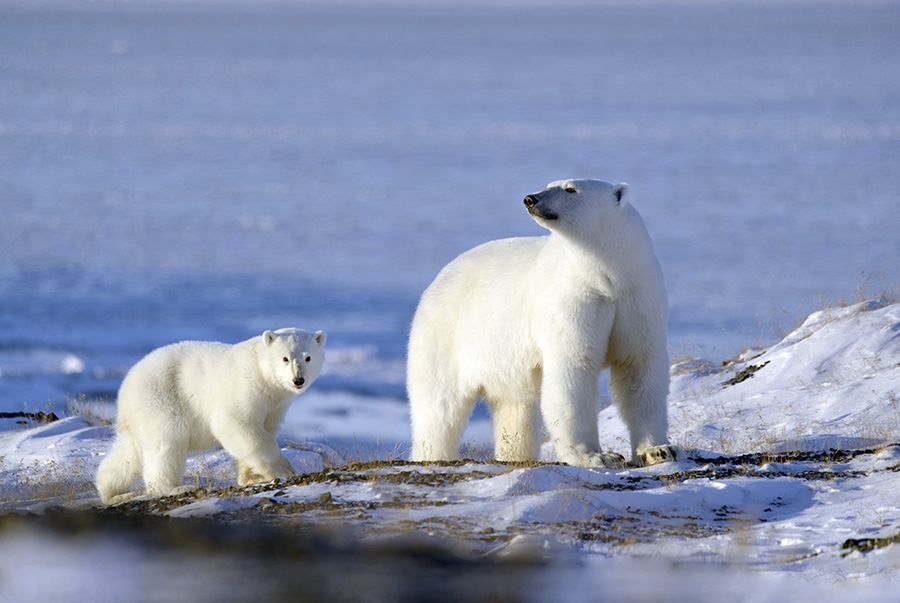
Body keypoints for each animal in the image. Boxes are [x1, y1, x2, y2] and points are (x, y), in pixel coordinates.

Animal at [408, 178, 676, 468]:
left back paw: (515, 456)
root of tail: (438, 279)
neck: (607, 279)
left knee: (515, 409)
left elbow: (638, 367)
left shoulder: (637, 297)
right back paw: (432, 455)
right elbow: (573, 371)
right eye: (550, 184)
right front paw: (596, 455)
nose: (530, 199)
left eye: (570, 189)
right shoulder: (572, 301)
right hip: (444, 339)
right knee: (440, 410)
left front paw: (658, 450)